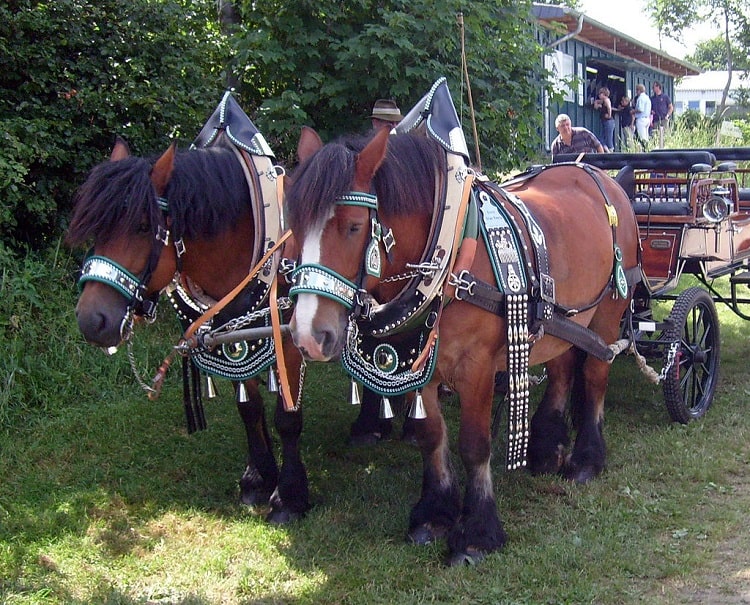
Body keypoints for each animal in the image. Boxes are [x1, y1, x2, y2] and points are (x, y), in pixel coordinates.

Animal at [66, 139, 308, 520]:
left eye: (142, 226)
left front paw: (289, 497)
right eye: (96, 229)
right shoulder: (233, 342)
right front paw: (258, 478)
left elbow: (287, 418)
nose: (92, 321)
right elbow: (249, 409)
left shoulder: (291, 343)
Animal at [286, 125, 640, 564]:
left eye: (352, 226)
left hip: (608, 313)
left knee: (593, 375)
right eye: (294, 227)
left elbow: (473, 446)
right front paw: (434, 513)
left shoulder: (476, 369)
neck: (449, 257)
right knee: (560, 370)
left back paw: (586, 460)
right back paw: (547, 448)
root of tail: (596, 174)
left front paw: (476, 533)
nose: (308, 336)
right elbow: (431, 436)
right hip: (562, 321)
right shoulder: (419, 367)